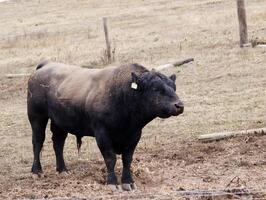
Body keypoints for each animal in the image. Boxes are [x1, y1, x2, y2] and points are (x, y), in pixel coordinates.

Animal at [27, 61, 185, 191]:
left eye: (174, 87)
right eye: (155, 89)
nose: (179, 105)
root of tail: (46, 65)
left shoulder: (135, 135)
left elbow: (127, 159)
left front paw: (128, 182)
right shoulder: (102, 133)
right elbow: (110, 158)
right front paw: (112, 183)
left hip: (59, 122)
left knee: (58, 143)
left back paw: (62, 170)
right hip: (37, 117)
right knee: (37, 142)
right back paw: (37, 171)